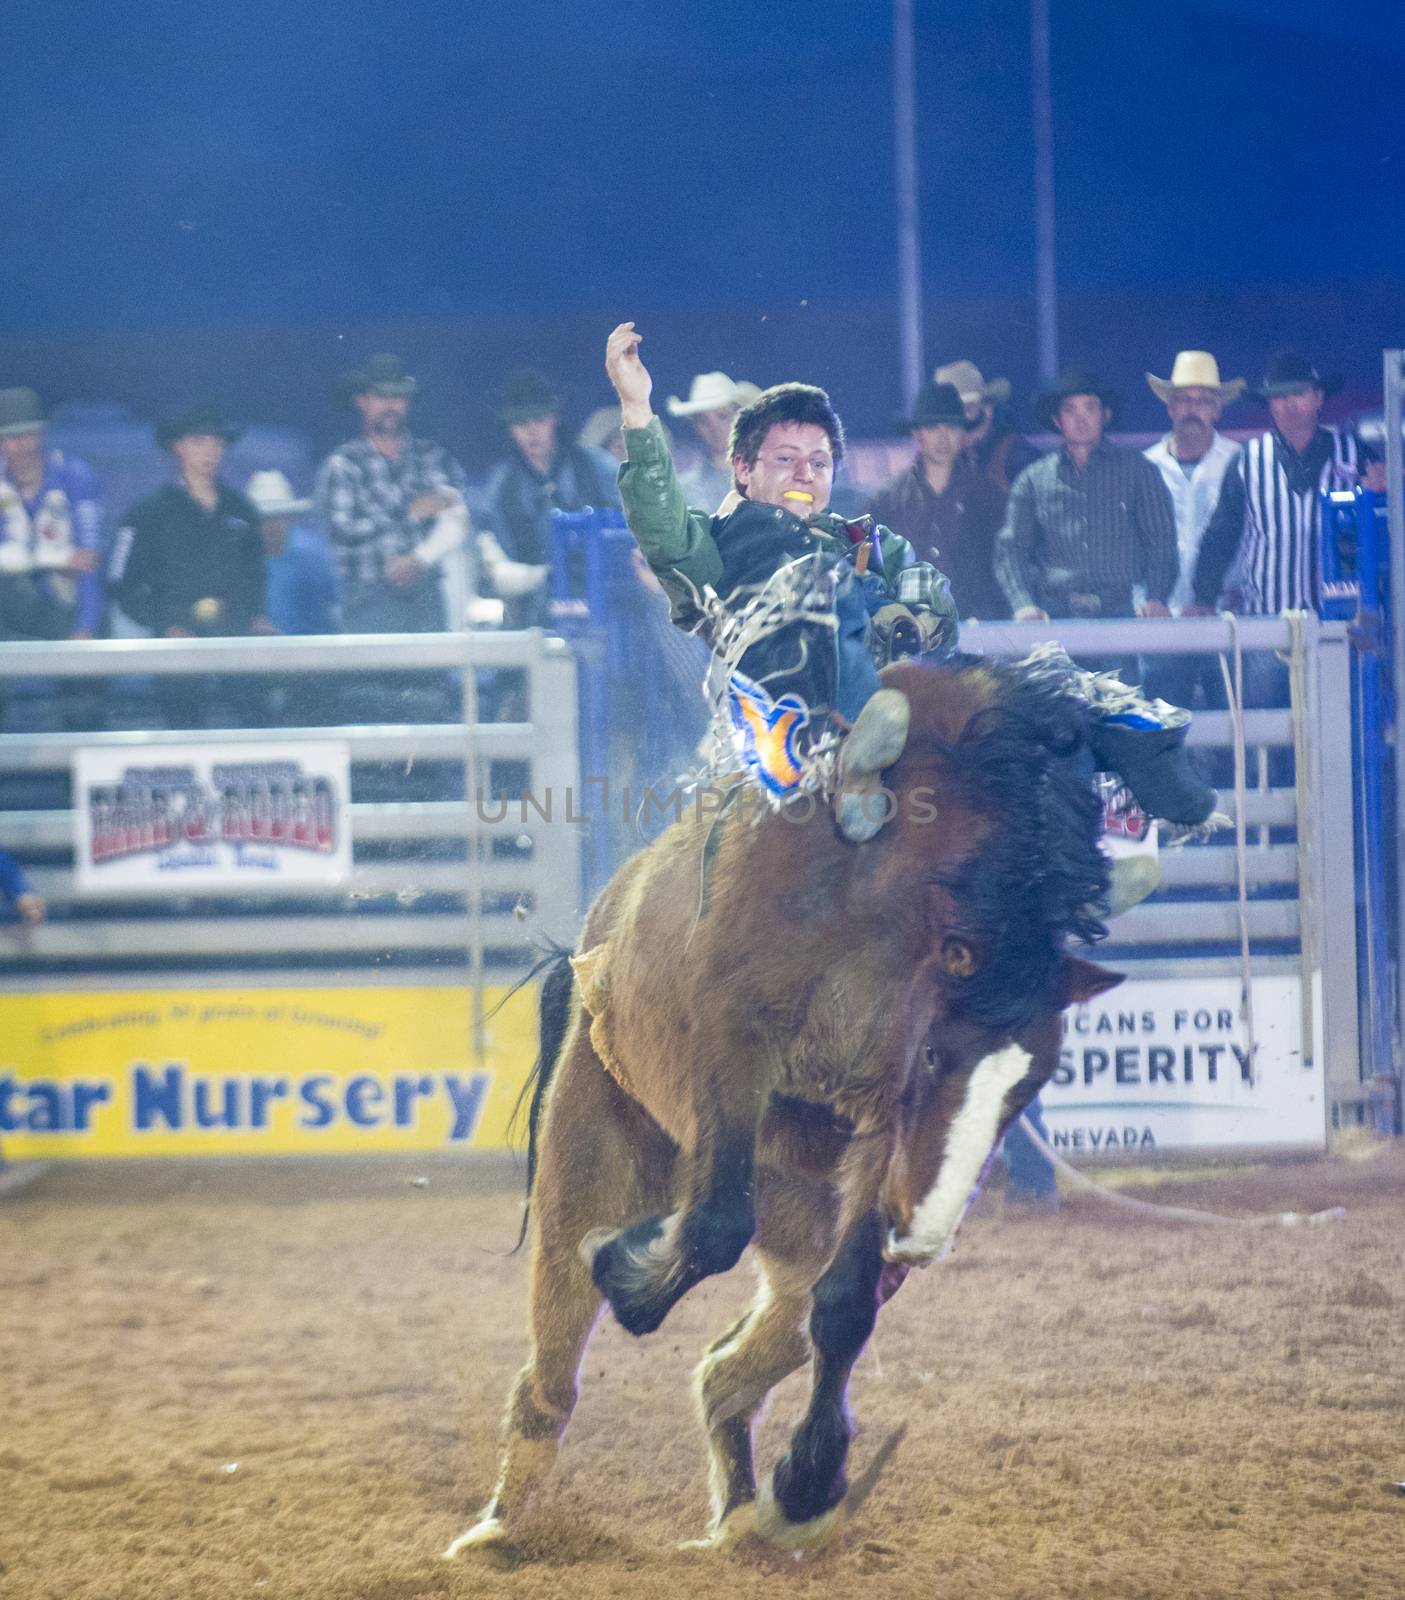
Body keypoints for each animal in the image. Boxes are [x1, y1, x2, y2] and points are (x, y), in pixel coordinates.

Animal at [444, 652, 1126, 1561]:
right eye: (936, 1054)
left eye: (1030, 1086)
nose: (925, 1234)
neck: (875, 899)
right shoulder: (732, 1047)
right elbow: (710, 1227)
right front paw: (626, 1269)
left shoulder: (878, 1139)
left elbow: (842, 1307)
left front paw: (806, 1483)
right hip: (584, 1167)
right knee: (551, 1371)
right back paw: (496, 1527)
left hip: (800, 1227)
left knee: (731, 1368)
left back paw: (740, 1516)